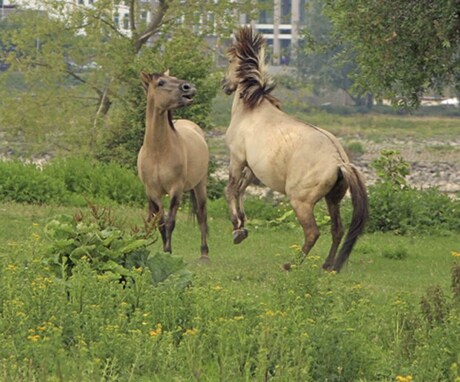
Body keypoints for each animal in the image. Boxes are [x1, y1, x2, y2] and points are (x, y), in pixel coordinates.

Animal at [137, 70, 208, 262]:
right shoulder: (153, 192)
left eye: (175, 78)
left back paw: (205, 254)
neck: (158, 151)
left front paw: (168, 251)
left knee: (201, 215)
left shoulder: (176, 190)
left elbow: (170, 222)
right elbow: (160, 223)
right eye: (161, 82)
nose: (189, 87)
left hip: (200, 185)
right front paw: (164, 251)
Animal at [221, 26, 368, 272]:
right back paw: (328, 265)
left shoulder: (237, 157)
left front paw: (237, 230)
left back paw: (291, 264)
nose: (225, 85)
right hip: (332, 200)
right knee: (337, 230)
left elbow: (231, 189)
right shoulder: (252, 167)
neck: (252, 110)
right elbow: (241, 189)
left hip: (301, 201)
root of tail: (339, 162)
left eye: (231, 60)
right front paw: (242, 224)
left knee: (313, 232)